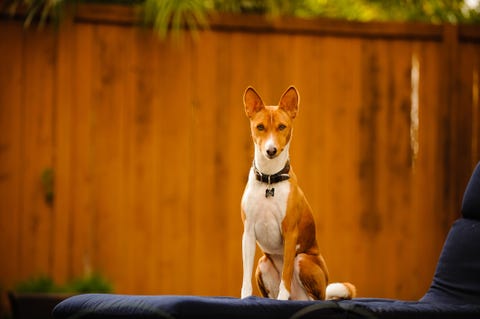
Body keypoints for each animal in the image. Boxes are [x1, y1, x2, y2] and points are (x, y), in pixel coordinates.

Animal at [240, 86, 356, 302]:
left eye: (282, 127)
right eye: (260, 127)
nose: (271, 150)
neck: (270, 179)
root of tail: (298, 297)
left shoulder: (290, 233)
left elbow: (285, 273)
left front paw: (281, 300)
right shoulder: (248, 233)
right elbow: (245, 276)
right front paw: (244, 299)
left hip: (302, 260)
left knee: (315, 297)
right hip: (262, 264)